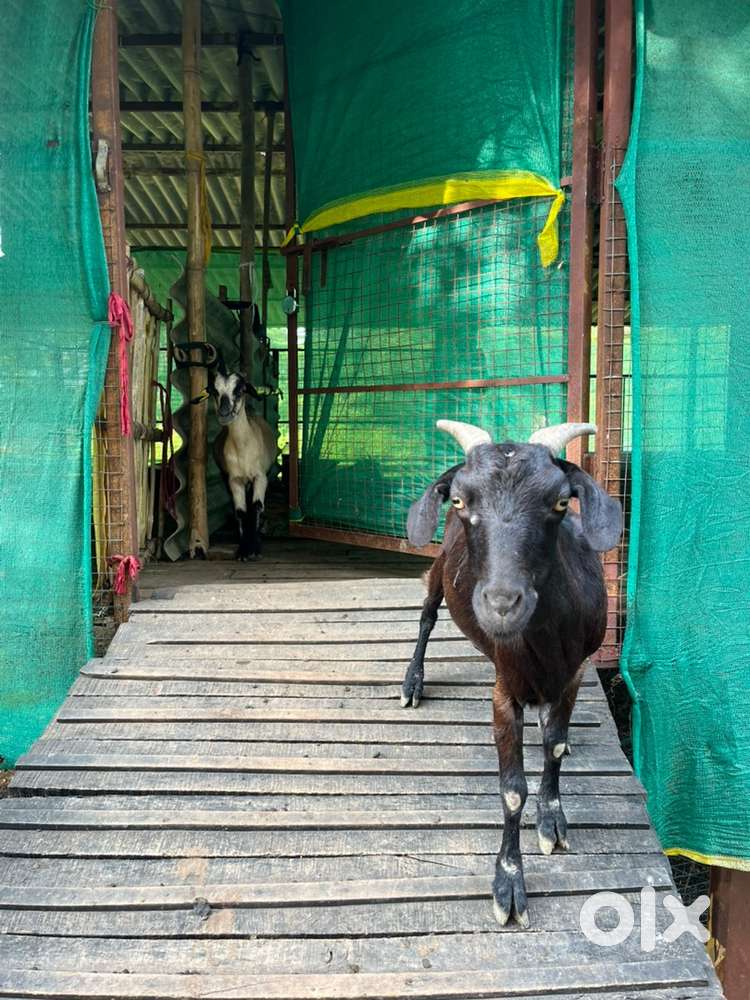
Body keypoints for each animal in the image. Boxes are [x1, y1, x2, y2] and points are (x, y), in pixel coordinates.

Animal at [209, 358, 277, 561]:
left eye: (239, 390)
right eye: (215, 391)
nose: (224, 413)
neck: (242, 448)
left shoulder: (260, 476)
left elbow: (256, 506)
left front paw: (254, 548)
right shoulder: (235, 479)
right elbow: (240, 511)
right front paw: (243, 550)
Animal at [402, 420, 622, 928]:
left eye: (561, 502)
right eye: (459, 501)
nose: (501, 604)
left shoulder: (573, 675)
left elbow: (555, 746)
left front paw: (552, 819)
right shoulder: (504, 692)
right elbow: (511, 791)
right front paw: (508, 884)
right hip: (441, 565)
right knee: (426, 613)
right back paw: (412, 681)